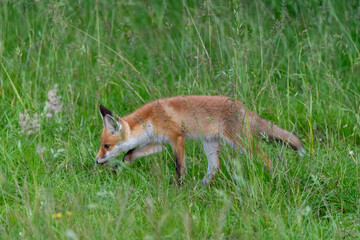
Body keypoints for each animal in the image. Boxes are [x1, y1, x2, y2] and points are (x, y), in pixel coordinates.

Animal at [94, 94, 306, 185]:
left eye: (106, 146)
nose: (96, 160)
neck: (151, 119)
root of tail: (243, 107)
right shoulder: (158, 143)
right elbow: (131, 153)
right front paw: (118, 166)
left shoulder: (177, 138)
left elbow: (179, 167)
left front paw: (178, 187)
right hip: (210, 143)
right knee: (215, 168)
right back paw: (200, 186)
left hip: (241, 143)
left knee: (267, 159)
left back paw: (276, 179)